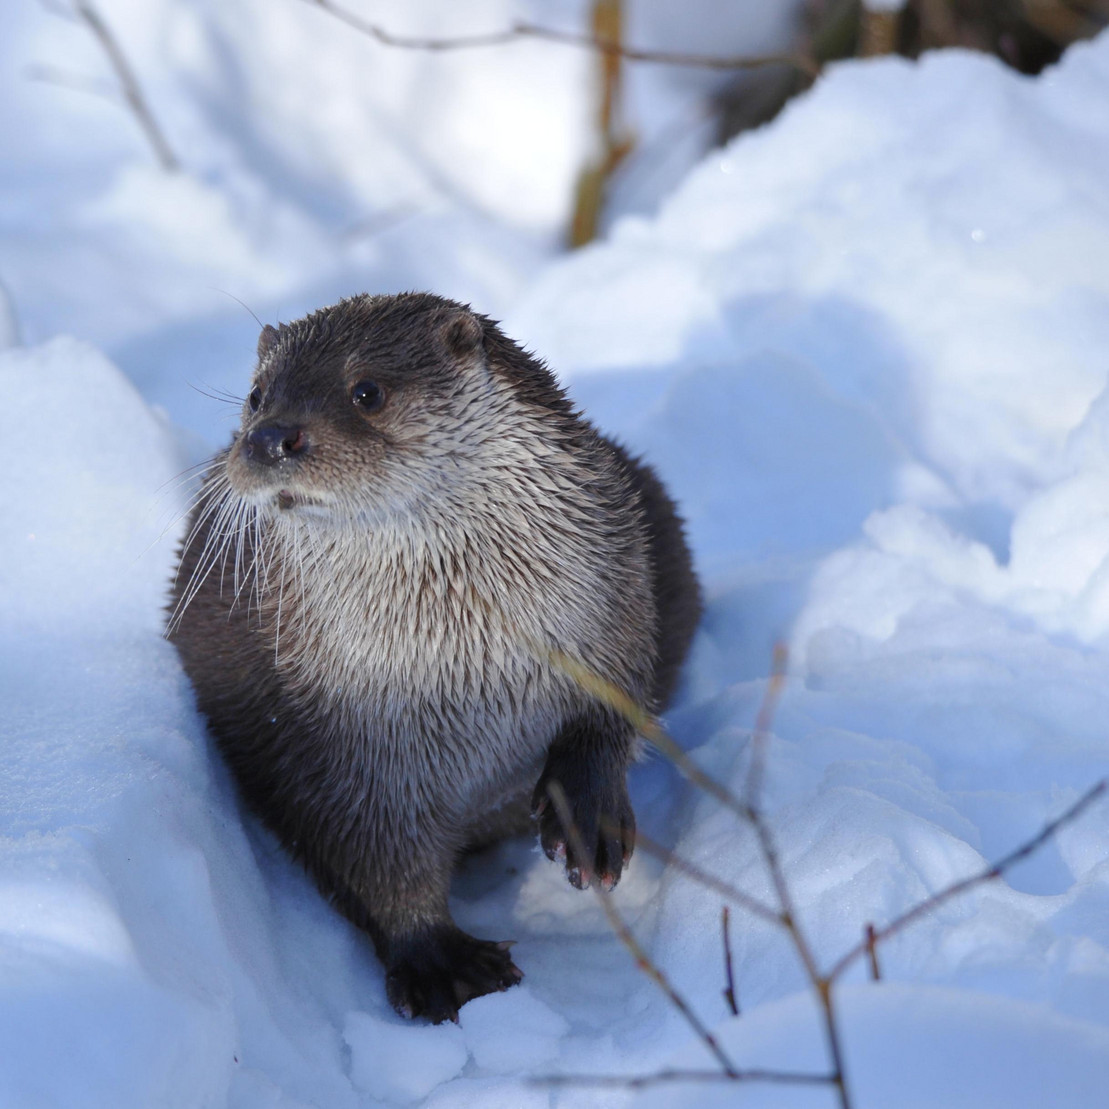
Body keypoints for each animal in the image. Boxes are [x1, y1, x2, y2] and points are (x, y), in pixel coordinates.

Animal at [168, 292, 696, 1020]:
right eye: (255, 395)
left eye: (366, 391)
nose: (271, 436)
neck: (472, 668)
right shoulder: (327, 736)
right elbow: (368, 850)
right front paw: (442, 962)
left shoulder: (615, 592)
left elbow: (613, 706)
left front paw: (589, 816)